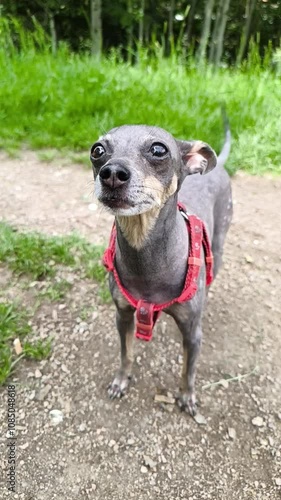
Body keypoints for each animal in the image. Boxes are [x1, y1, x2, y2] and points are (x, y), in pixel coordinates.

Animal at [90, 120, 232, 414]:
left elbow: (188, 370)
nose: (112, 173)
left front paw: (187, 397)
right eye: (97, 150)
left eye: (158, 149)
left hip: (219, 248)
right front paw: (121, 380)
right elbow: (126, 354)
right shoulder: (123, 316)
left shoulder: (192, 334)